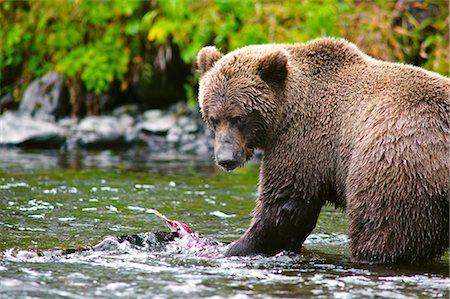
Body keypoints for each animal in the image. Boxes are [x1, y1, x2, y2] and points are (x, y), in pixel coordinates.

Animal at [197, 37, 450, 264]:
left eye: (239, 117)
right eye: (213, 118)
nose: (226, 159)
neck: (285, 113)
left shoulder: (304, 141)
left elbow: (283, 206)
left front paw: (235, 246)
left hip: (395, 165)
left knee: (383, 229)